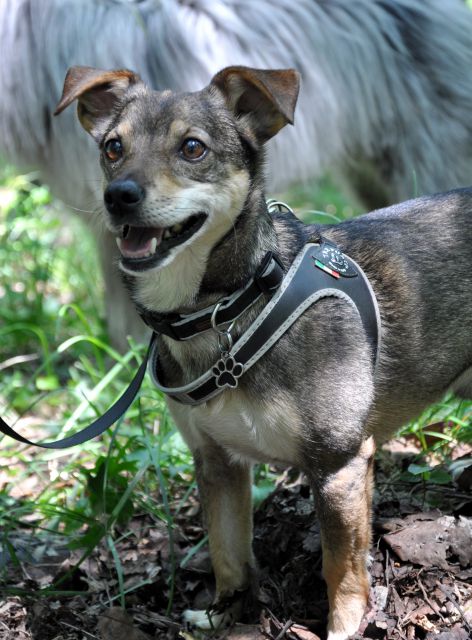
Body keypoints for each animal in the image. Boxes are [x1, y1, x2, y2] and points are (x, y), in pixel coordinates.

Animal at [56, 65, 472, 640]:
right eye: (113, 147)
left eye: (192, 148)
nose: (119, 195)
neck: (227, 309)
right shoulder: (217, 462)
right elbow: (228, 550)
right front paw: (223, 612)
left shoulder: (338, 464)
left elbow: (341, 564)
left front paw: (344, 626)